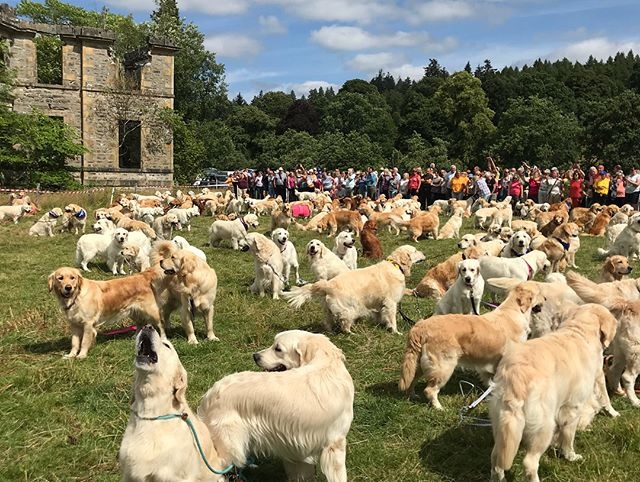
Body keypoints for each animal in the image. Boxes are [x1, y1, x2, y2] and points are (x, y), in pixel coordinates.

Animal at [198, 332, 352, 482]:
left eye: (278, 349)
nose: (255, 356)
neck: (328, 363)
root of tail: (210, 395)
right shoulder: (335, 443)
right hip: (230, 447)